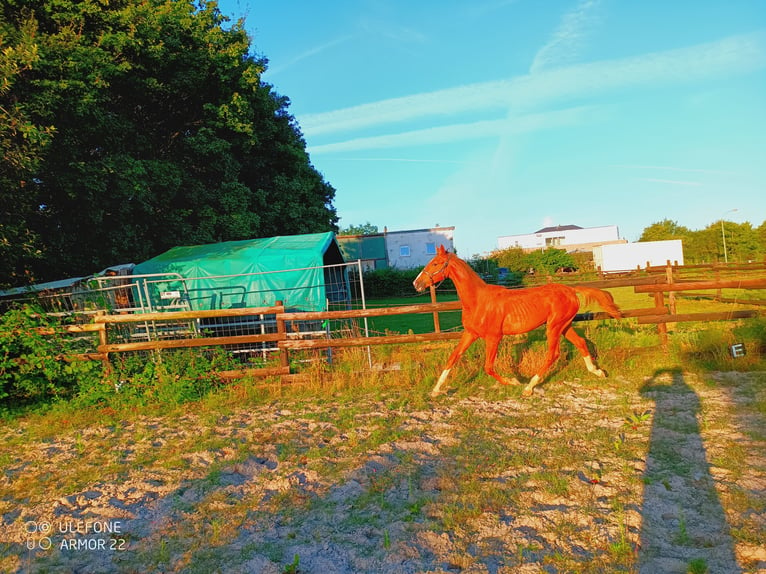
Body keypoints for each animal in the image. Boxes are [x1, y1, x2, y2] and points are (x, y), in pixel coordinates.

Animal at [414, 245, 624, 398]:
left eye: (436, 263)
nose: (416, 284)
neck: (478, 300)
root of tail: (571, 290)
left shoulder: (494, 337)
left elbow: (488, 367)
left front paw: (514, 381)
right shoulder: (470, 334)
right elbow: (452, 358)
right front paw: (435, 391)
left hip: (554, 326)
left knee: (553, 354)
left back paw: (529, 387)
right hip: (565, 326)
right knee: (580, 342)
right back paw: (598, 372)